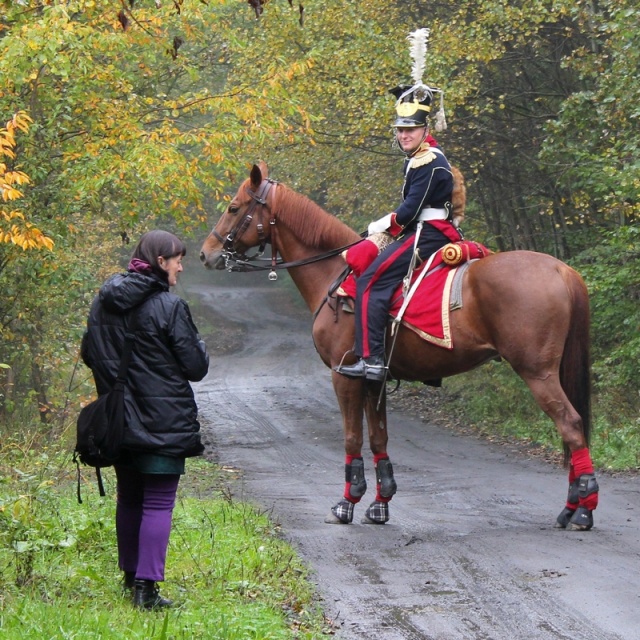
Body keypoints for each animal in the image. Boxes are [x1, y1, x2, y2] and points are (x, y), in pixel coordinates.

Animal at [201, 162, 600, 532]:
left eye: (234, 208)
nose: (207, 254)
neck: (335, 276)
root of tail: (563, 270)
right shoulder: (373, 378)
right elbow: (378, 437)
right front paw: (380, 503)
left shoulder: (344, 376)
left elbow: (352, 438)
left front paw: (346, 504)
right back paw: (572, 508)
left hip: (538, 373)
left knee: (571, 424)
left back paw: (581, 509)